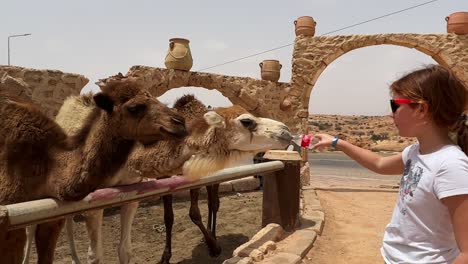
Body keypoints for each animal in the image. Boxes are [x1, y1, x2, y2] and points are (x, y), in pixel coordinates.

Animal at [1, 73, 188, 264]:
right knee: (33, 229)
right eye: (134, 108)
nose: (180, 122)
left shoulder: (132, 193)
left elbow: (124, 250)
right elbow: (95, 255)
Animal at [53, 95, 290, 264]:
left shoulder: (134, 190)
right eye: (247, 121)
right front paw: (166, 256)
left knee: (214, 203)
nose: (286, 131)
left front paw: (213, 246)